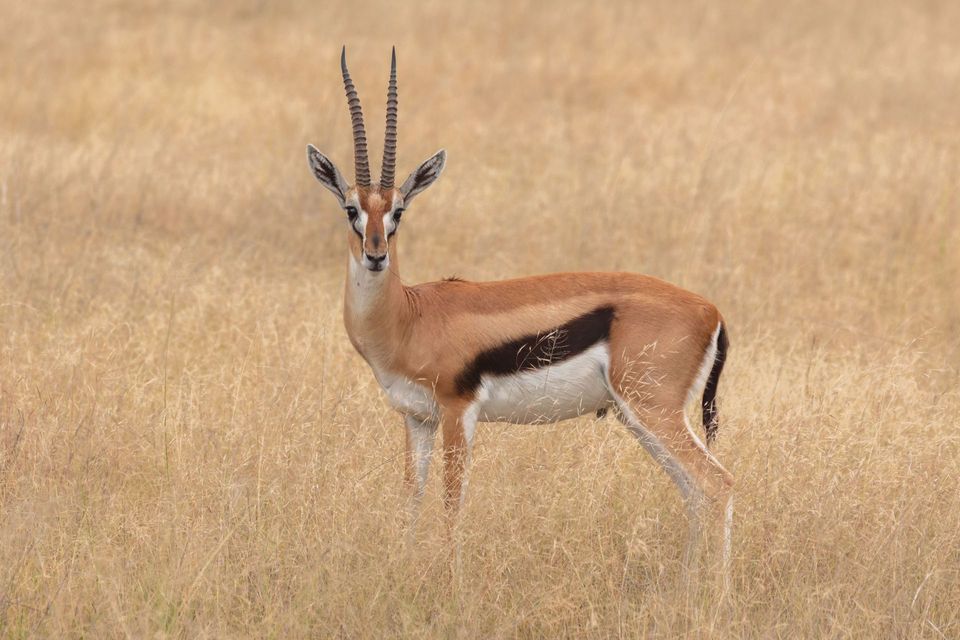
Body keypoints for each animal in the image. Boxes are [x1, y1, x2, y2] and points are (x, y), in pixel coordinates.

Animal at [306, 48, 735, 568]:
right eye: (351, 209)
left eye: (399, 211)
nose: (375, 254)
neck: (409, 317)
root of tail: (712, 312)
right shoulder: (416, 418)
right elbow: (411, 499)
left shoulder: (458, 412)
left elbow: (451, 504)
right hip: (642, 419)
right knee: (694, 492)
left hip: (653, 411)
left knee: (718, 484)